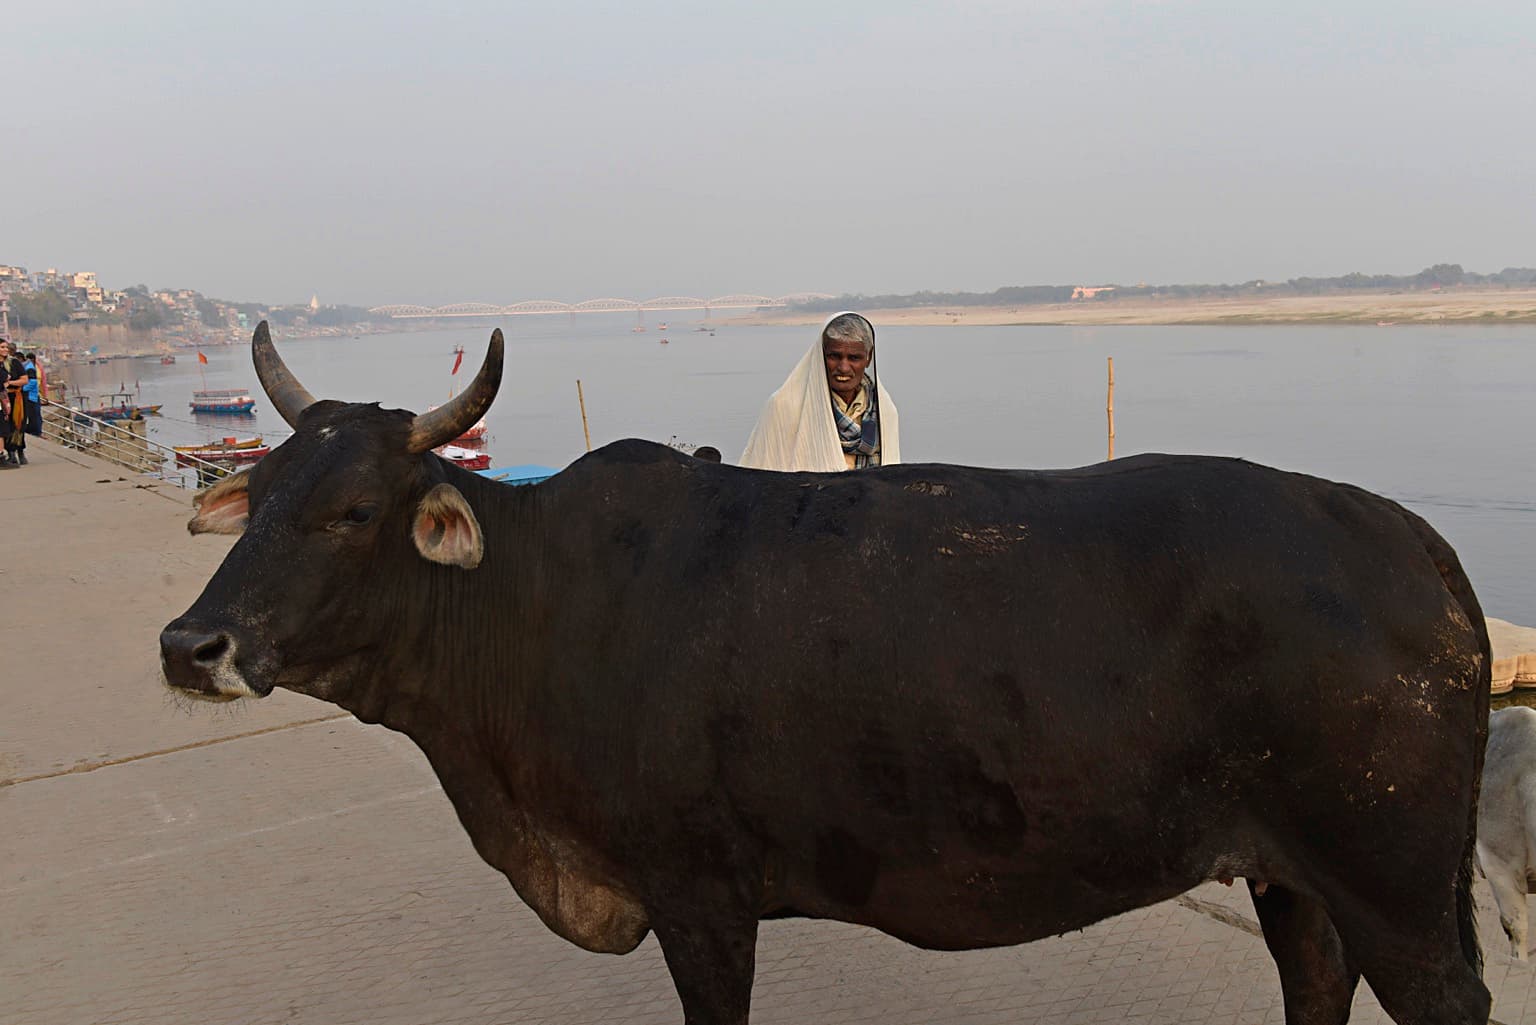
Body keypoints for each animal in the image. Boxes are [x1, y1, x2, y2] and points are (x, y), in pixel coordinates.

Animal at [162, 323, 1492, 1025]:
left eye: (352, 509)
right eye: (259, 492)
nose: (190, 644)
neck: (538, 602)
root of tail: (1403, 532)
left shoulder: (701, 894)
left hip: (1400, 890)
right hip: (1296, 878)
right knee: (1315, 986)